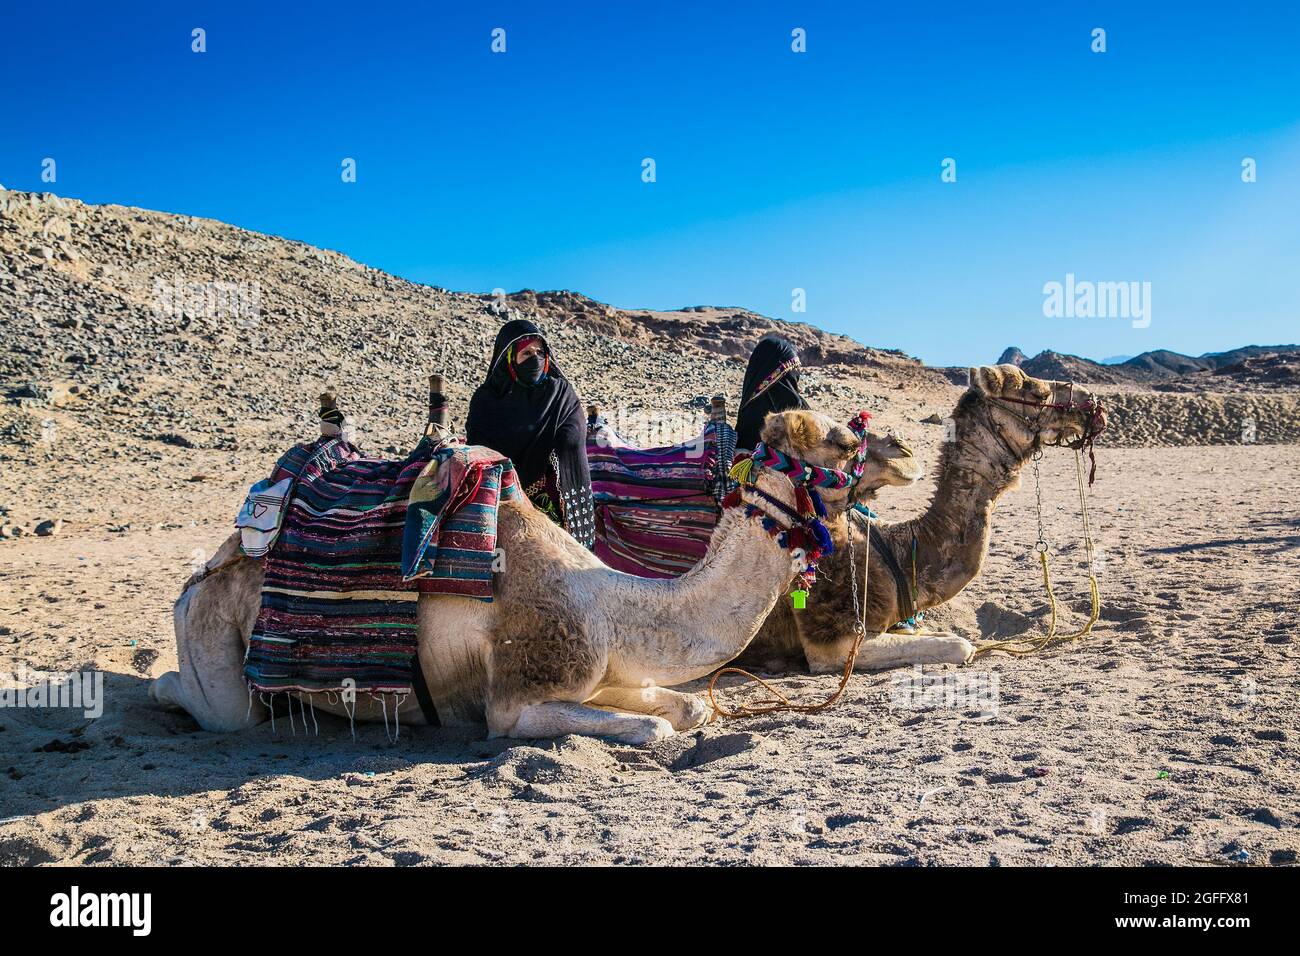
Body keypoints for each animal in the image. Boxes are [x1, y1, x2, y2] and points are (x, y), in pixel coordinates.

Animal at [152, 408, 925, 743]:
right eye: (842, 441)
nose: (905, 451)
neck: (614, 602)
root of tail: (201, 573)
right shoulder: (518, 698)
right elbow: (653, 729)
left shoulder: (609, 668)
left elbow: (688, 708)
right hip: (212, 640)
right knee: (209, 701)